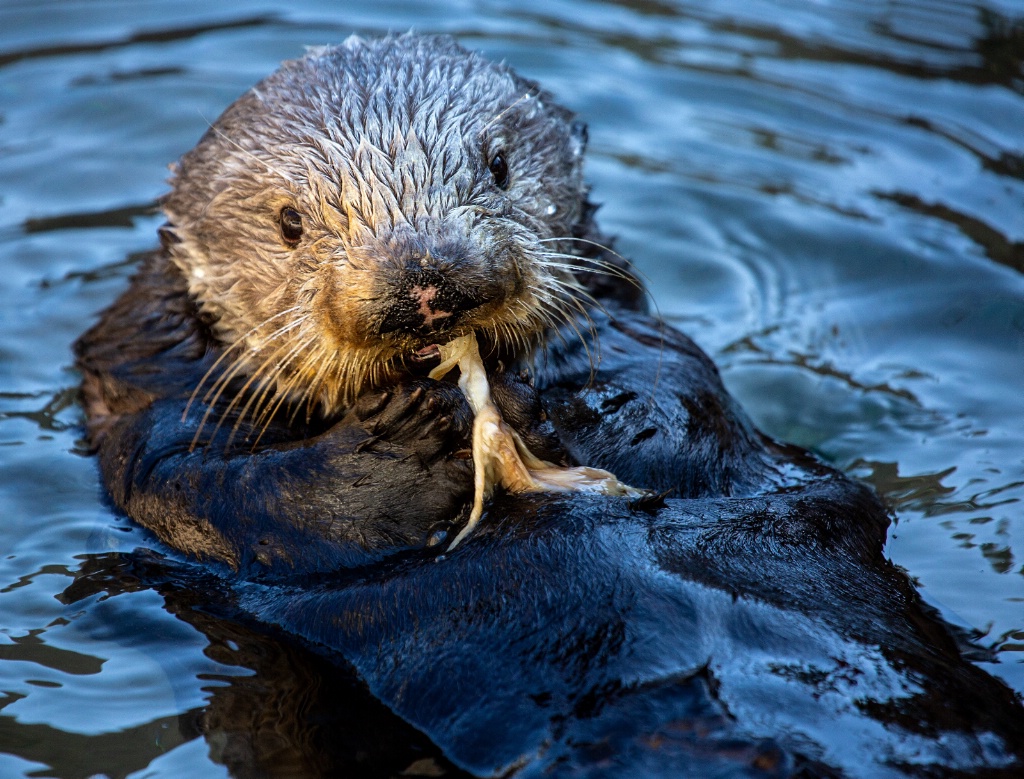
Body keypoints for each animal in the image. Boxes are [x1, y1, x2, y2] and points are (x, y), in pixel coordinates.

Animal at [75, 33, 1024, 773]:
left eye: (496, 166)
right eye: (288, 223)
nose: (426, 281)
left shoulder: (643, 330)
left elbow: (685, 399)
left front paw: (583, 406)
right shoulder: (142, 381)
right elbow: (205, 489)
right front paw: (401, 450)